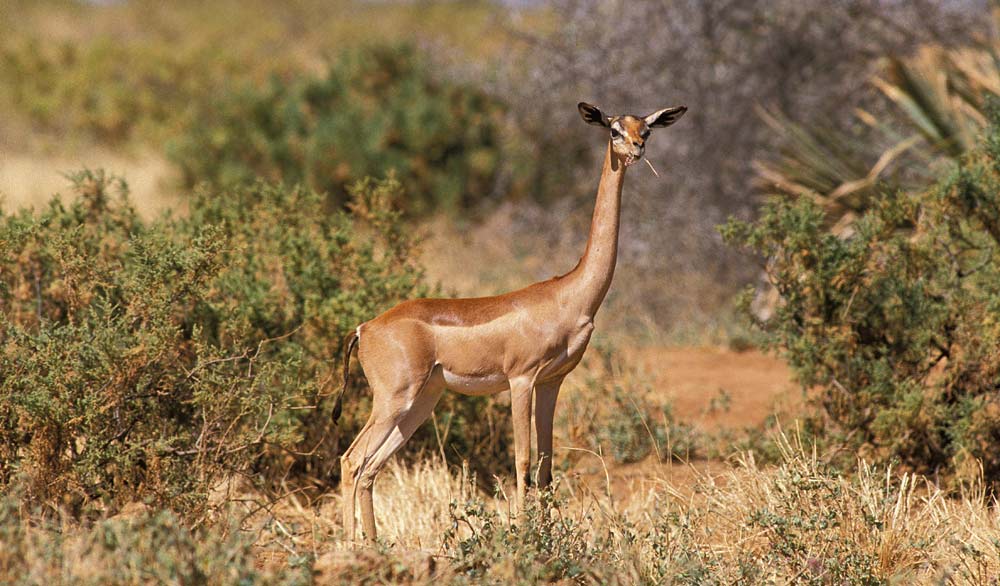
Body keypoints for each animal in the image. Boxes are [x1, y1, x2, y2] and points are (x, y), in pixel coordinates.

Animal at [336, 99, 688, 540]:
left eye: (647, 128)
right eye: (613, 130)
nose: (638, 149)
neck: (569, 295)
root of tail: (364, 328)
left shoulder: (553, 381)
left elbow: (547, 463)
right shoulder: (521, 379)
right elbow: (522, 459)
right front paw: (524, 536)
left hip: (421, 402)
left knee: (371, 467)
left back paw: (374, 545)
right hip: (392, 400)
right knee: (351, 460)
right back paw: (349, 546)